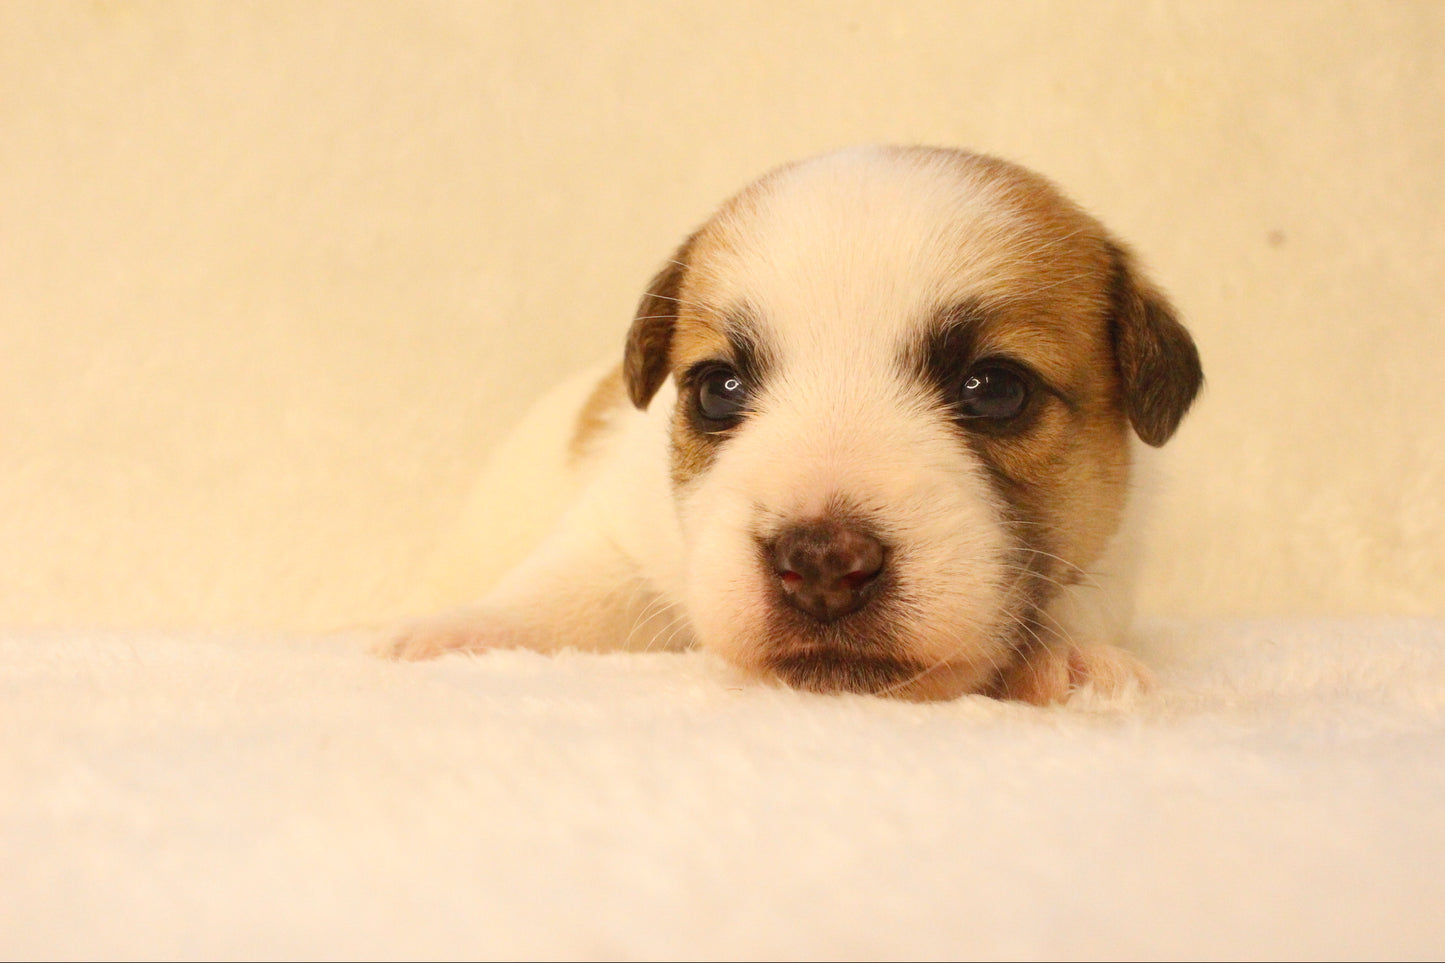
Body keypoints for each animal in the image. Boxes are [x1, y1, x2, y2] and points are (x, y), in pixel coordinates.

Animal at [381, 144, 1196, 696]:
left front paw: (1064, 658)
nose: (822, 564)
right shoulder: (613, 530)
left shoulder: (1117, 554)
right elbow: (561, 592)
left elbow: (1080, 601)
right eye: (719, 390)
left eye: (994, 390)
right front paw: (464, 633)